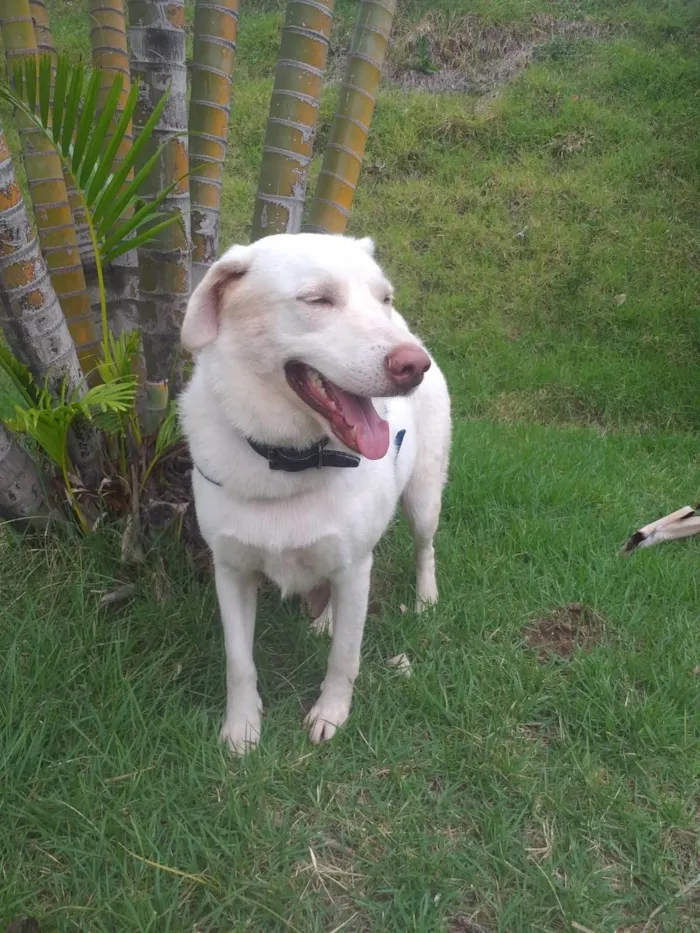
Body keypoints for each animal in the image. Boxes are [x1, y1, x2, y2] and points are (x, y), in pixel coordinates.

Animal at [180, 231, 452, 748]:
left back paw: (427, 601)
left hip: (423, 499)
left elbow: (345, 657)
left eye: (383, 298)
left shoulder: (356, 568)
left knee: (425, 549)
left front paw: (331, 714)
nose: (414, 365)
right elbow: (238, 663)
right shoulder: (231, 571)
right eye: (317, 300)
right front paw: (242, 728)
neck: (290, 459)